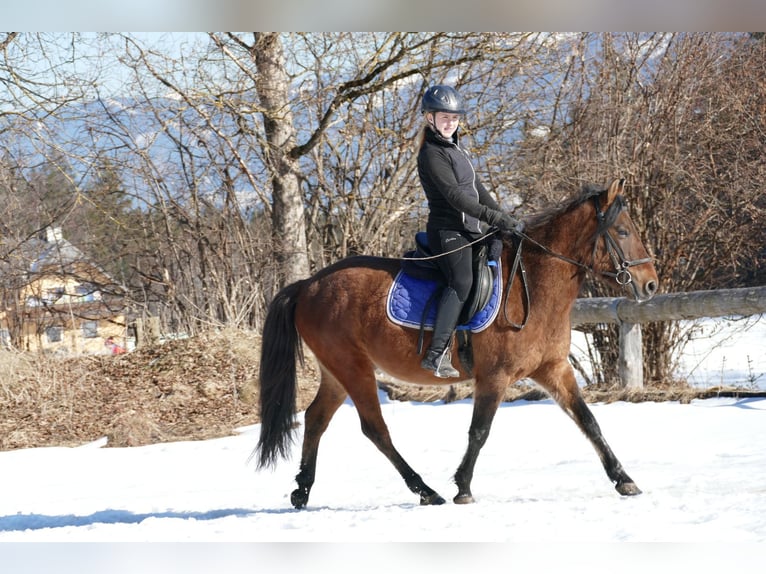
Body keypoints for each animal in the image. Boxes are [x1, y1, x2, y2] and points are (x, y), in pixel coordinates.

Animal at [256, 179, 660, 508]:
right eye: (623, 231)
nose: (651, 284)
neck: (533, 284)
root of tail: (307, 285)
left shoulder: (553, 369)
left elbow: (588, 420)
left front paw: (624, 480)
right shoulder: (494, 376)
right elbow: (479, 431)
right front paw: (463, 487)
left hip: (337, 372)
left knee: (315, 419)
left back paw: (302, 491)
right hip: (353, 369)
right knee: (375, 429)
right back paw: (425, 491)